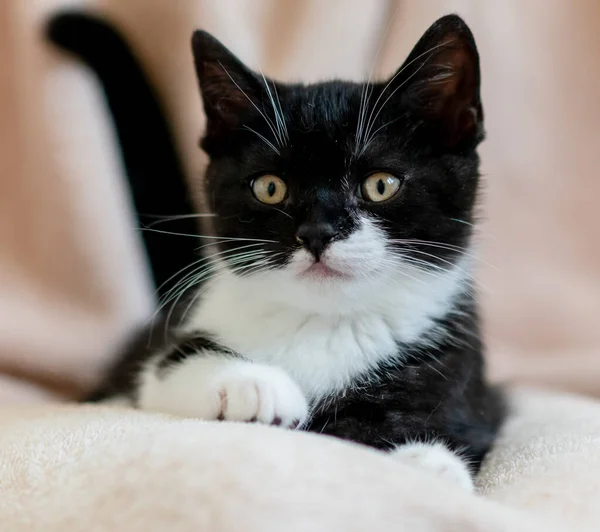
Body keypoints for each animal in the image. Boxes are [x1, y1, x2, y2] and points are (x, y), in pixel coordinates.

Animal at [48, 12, 506, 488]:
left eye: (381, 185)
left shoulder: (470, 387)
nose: (317, 232)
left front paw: (423, 463)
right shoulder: (161, 362)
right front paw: (255, 385)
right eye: (269, 187)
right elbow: (166, 371)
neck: (325, 324)